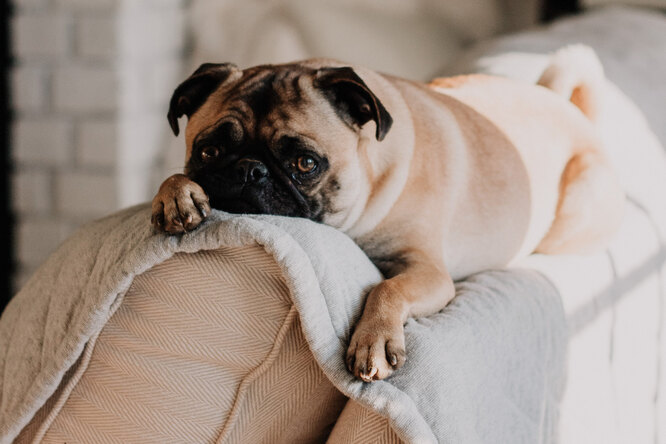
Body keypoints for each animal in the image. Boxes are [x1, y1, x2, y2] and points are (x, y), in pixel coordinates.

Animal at [150, 46, 624, 384]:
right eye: (209, 151)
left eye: (306, 164)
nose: (250, 170)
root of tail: (570, 109)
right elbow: (174, 178)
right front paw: (176, 194)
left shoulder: (429, 271)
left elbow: (387, 288)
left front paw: (373, 340)